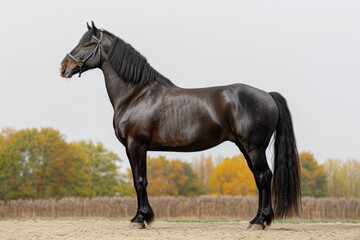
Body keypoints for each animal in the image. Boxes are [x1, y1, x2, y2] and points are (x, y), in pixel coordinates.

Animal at [59, 22, 300, 231]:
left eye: (88, 44)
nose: (63, 67)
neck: (136, 94)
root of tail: (267, 95)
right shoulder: (135, 147)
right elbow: (140, 181)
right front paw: (143, 217)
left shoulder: (136, 145)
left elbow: (139, 181)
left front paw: (140, 219)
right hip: (246, 148)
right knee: (259, 179)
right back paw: (256, 220)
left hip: (254, 147)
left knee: (264, 177)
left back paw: (260, 222)